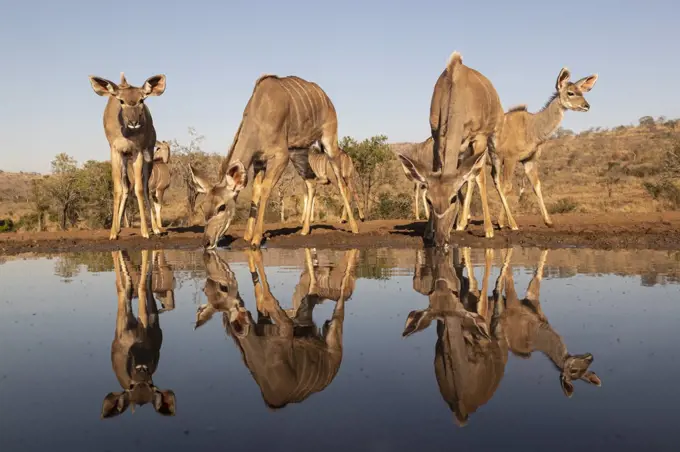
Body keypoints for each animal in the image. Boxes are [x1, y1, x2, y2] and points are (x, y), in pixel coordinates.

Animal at [88, 72, 167, 240]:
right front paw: (113, 232)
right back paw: (119, 228)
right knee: (125, 188)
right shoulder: (116, 151)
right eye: (121, 101)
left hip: (148, 155)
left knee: (144, 187)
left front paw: (145, 231)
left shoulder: (138, 151)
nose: (134, 122)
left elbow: (139, 189)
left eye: (142, 99)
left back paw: (155, 228)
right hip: (125, 159)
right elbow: (118, 188)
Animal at [101, 249, 177, 418]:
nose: (141, 370)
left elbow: (145, 285)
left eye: (151, 385)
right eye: (131, 386)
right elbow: (139, 287)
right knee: (123, 288)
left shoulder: (152, 324)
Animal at [186, 75, 356, 251]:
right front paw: (247, 236)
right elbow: (255, 190)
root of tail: (326, 98)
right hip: (298, 152)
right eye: (203, 206)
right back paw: (304, 230)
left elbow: (265, 189)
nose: (206, 242)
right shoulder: (259, 161)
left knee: (342, 185)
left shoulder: (281, 156)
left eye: (222, 206)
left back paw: (353, 227)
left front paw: (256, 239)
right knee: (311, 182)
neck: (258, 116)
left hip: (329, 143)